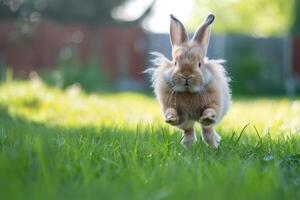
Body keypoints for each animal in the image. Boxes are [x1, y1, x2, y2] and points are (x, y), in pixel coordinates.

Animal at [146, 14, 231, 148]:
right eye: (175, 63)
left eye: (199, 64)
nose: (186, 76)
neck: (188, 92)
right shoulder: (172, 107)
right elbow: (172, 112)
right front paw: (170, 118)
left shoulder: (215, 103)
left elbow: (210, 111)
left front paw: (207, 117)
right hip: (187, 122)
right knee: (189, 130)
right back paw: (189, 145)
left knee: (207, 130)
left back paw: (213, 145)